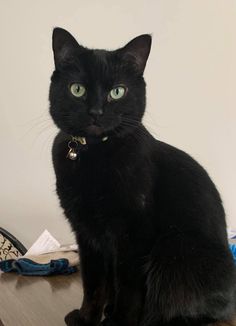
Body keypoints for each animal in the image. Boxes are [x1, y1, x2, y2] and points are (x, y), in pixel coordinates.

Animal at [48, 28, 235, 326]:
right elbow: (94, 283)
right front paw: (87, 318)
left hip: (172, 251)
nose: (96, 112)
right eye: (77, 89)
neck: (94, 153)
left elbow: (127, 286)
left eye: (117, 92)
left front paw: (118, 322)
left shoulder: (134, 235)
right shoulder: (86, 234)